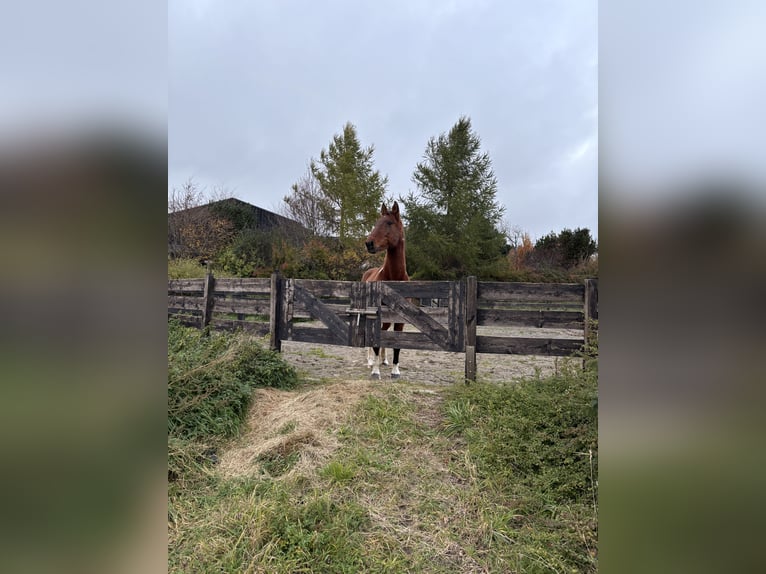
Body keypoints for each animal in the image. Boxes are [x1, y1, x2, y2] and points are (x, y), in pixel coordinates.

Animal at [363, 201, 409, 379]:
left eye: (389, 223)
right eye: (376, 222)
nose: (369, 243)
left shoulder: (399, 320)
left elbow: (396, 344)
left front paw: (395, 370)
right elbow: (376, 342)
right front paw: (375, 371)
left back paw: (384, 361)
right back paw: (371, 362)